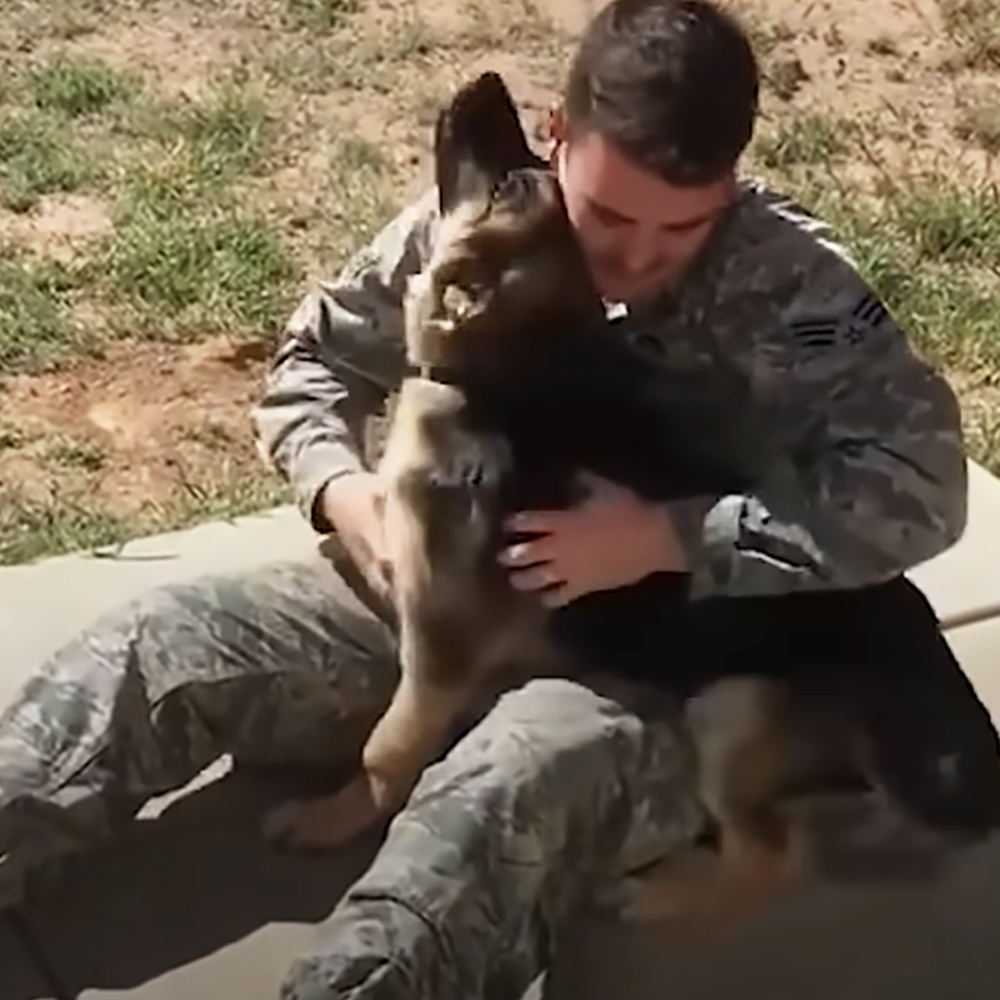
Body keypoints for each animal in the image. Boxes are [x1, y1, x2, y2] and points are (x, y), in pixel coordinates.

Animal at [264, 72, 1000, 920]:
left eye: (511, 184)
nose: (488, 80)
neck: (514, 374)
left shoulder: (440, 644)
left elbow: (387, 748)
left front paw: (329, 818)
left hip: (729, 710)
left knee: (773, 855)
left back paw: (654, 896)